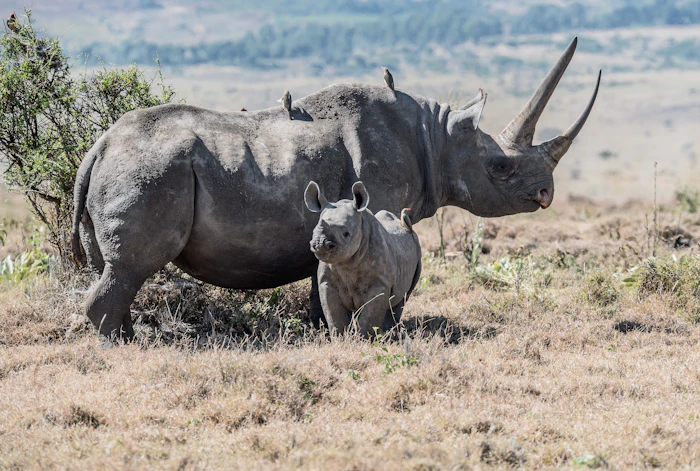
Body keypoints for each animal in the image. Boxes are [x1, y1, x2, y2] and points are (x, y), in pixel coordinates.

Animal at [305, 181, 421, 335]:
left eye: (346, 234)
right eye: (313, 231)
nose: (320, 244)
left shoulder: (380, 282)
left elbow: (369, 317)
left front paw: (363, 338)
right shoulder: (326, 281)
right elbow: (333, 314)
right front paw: (340, 337)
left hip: (416, 249)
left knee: (402, 297)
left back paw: (389, 333)